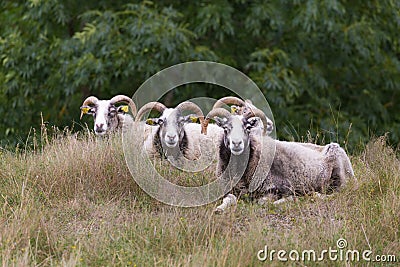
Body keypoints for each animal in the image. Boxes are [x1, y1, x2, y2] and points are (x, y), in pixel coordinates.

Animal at [206, 108, 356, 213]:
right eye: (225, 128)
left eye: (247, 128)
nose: (237, 144)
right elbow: (228, 198)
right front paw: (219, 209)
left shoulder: (281, 187)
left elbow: (264, 202)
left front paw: (290, 199)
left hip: (338, 177)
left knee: (336, 193)